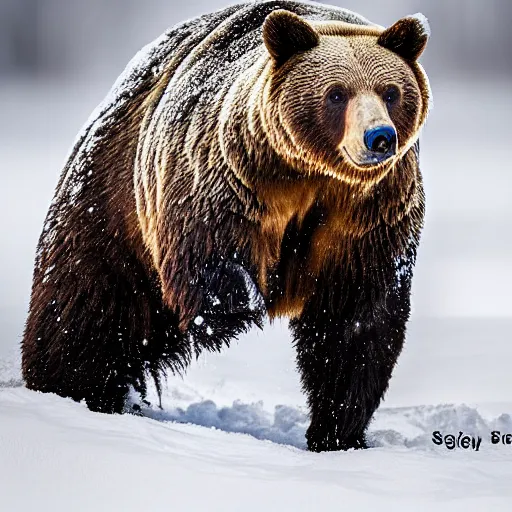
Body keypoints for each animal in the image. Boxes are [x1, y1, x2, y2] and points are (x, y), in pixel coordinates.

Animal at [21, 0, 428, 452]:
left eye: (390, 92)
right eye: (336, 93)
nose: (379, 137)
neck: (311, 177)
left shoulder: (367, 217)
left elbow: (355, 323)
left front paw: (338, 433)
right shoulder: (226, 179)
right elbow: (211, 260)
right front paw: (244, 303)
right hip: (110, 207)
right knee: (86, 311)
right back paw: (71, 390)